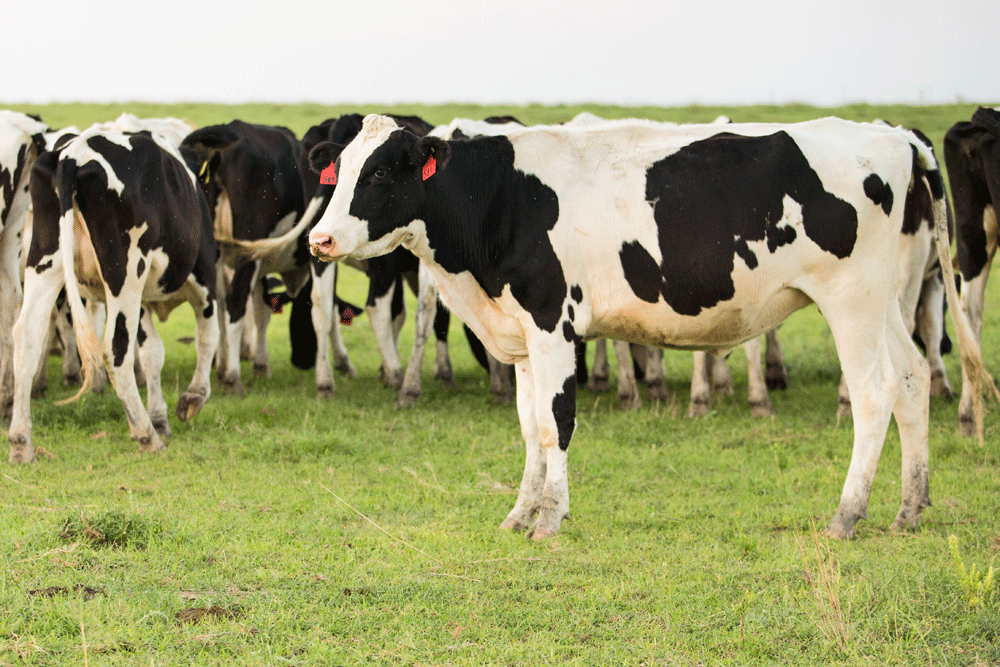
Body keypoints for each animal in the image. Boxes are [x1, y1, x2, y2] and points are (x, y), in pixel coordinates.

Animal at [7, 125, 219, 462]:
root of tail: (73, 155)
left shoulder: (141, 301)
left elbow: (151, 352)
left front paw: (160, 418)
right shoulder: (205, 275)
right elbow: (207, 336)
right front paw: (192, 398)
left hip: (45, 260)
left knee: (27, 337)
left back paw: (21, 443)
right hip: (125, 271)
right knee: (115, 350)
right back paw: (145, 435)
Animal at [308, 115, 988, 540]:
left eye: (380, 172)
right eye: (335, 171)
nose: (321, 238)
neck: (501, 195)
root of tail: (892, 135)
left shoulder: (553, 321)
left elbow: (556, 423)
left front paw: (549, 521)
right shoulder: (521, 335)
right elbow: (529, 428)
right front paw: (519, 515)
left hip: (851, 298)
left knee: (874, 394)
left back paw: (847, 516)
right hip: (889, 300)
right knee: (912, 380)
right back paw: (909, 509)